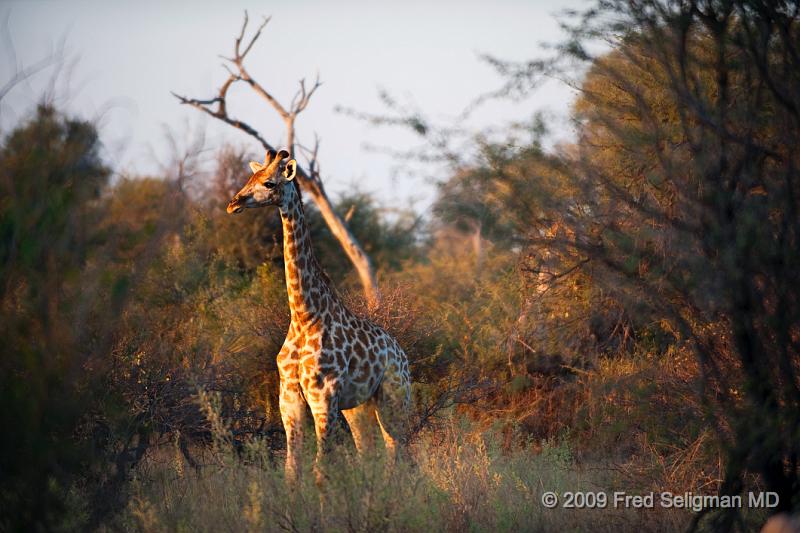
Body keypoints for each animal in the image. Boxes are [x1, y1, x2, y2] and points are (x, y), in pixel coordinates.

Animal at [227, 149, 410, 482]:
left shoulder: (322, 397)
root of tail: (402, 355)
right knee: (369, 451)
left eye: (270, 183)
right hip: (357, 407)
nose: (234, 203)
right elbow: (292, 468)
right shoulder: (289, 398)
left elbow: (320, 469)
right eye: (250, 177)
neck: (304, 316)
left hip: (394, 398)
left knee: (396, 452)